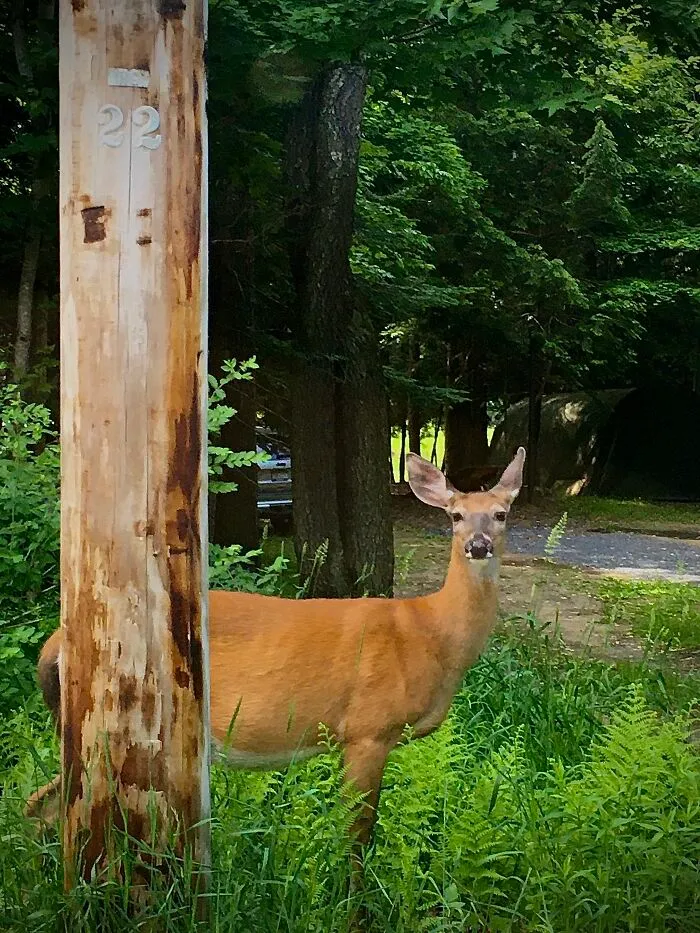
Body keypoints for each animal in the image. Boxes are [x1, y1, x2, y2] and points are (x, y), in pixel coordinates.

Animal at [26, 447, 525, 884]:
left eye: (501, 514)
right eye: (456, 515)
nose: (478, 545)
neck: (430, 634)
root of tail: (52, 646)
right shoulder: (367, 730)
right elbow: (357, 838)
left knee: (39, 805)